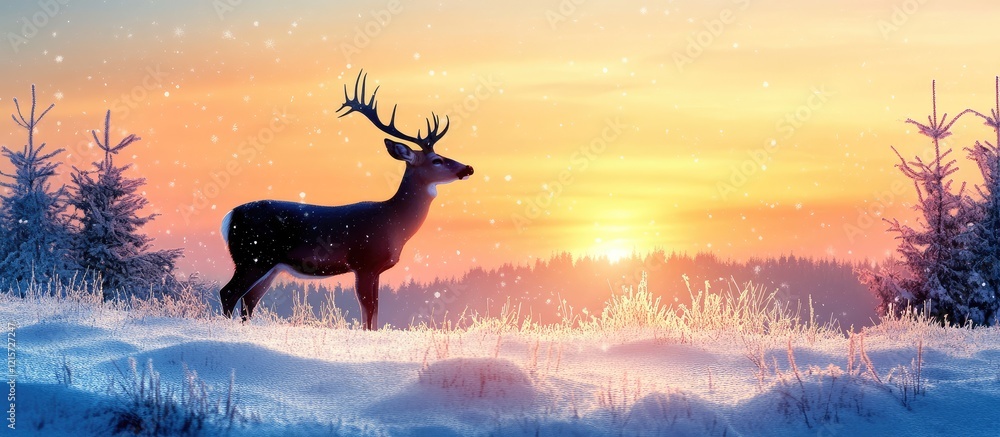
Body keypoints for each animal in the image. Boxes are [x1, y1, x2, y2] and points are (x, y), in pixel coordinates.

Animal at [219, 71, 474, 330]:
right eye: (436, 160)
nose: (468, 168)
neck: (394, 222)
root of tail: (229, 217)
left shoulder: (376, 270)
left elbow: (376, 313)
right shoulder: (364, 262)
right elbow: (367, 312)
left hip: (270, 266)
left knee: (248, 301)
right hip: (252, 256)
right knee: (228, 293)